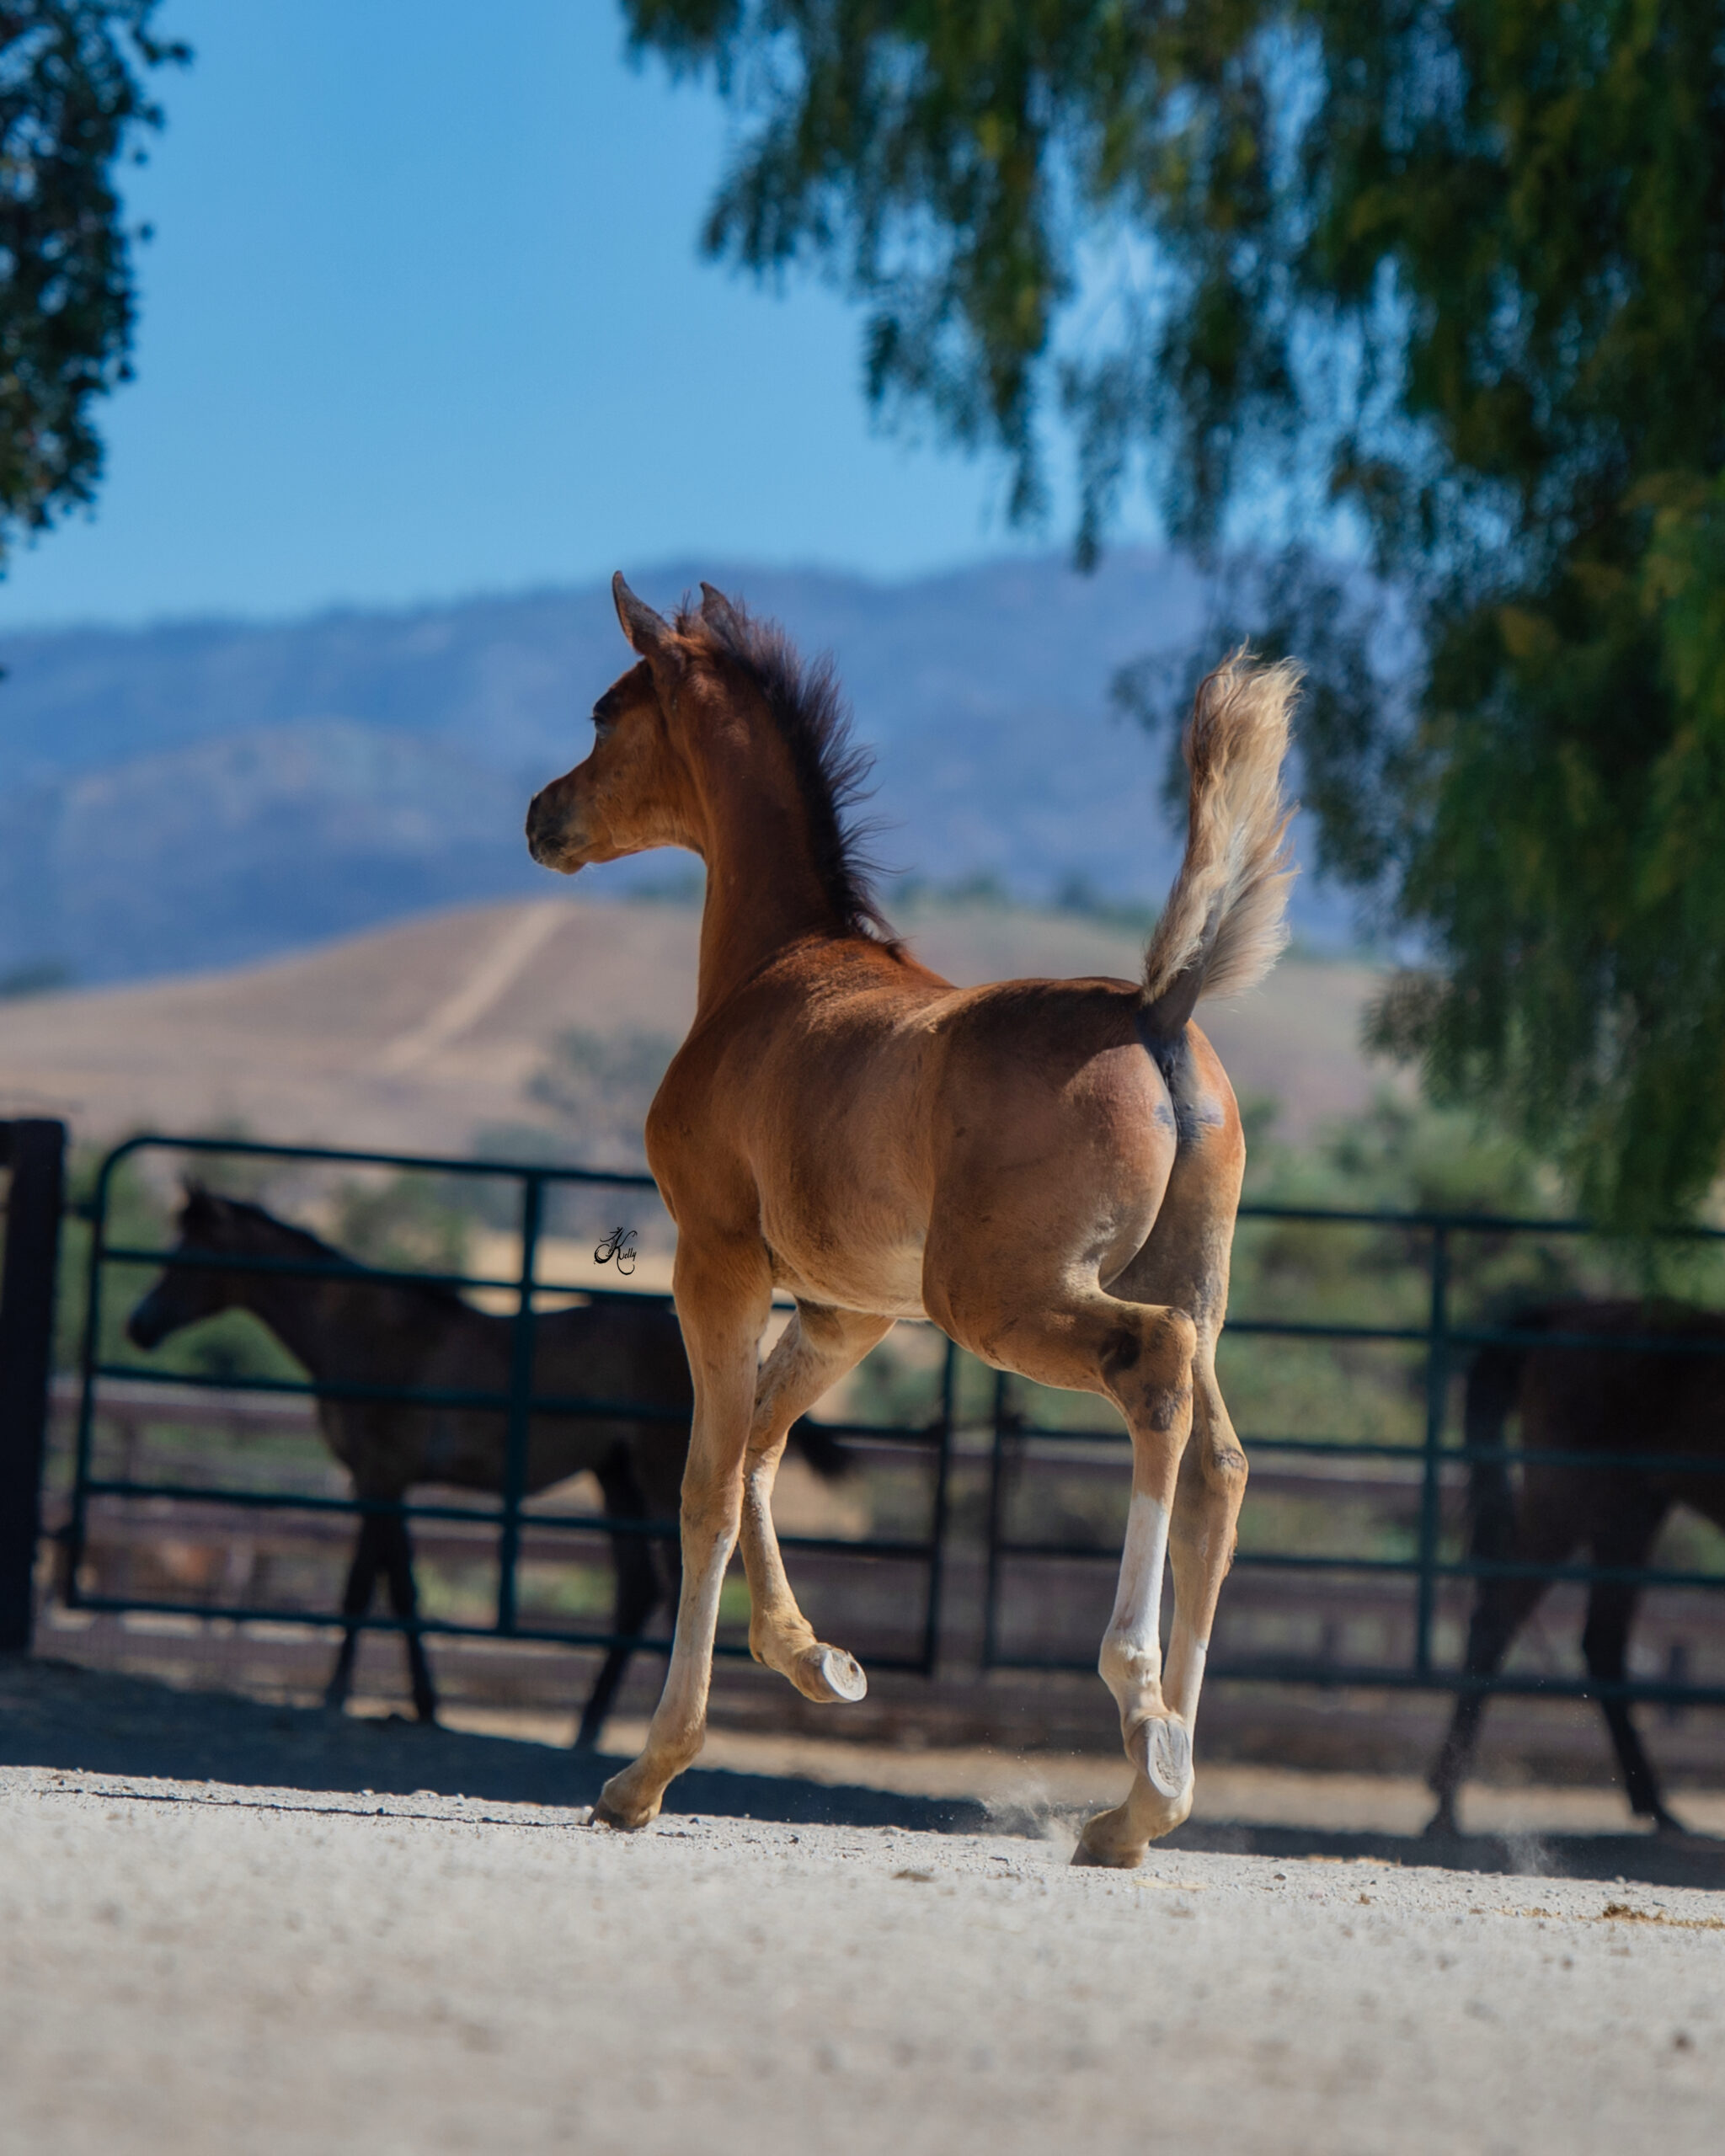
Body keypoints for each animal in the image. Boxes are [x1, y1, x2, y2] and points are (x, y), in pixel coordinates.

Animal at [126, 1185, 846, 1747]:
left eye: (187, 1255)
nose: (138, 1326)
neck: (368, 1333)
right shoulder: (374, 1481)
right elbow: (379, 1584)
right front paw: (379, 1698)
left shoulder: (382, 1478)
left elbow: (384, 1587)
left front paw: (377, 1699)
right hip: (613, 1477)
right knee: (639, 1590)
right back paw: (588, 1727)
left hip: (652, 1471)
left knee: (676, 1588)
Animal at [525, 573, 1299, 1866]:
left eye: (602, 711)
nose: (541, 817)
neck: (773, 965)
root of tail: (1159, 1010)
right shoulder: (849, 1308)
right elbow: (759, 1450)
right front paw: (815, 1661)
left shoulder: (717, 1260)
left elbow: (705, 1485)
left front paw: (647, 1772)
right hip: (1185, 1287)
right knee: (1219, 1465)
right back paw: (1139, 1799)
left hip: (1000, 1297)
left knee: (1151, 1375)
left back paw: (1140, 1709)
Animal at [1426, 1299, 1725, 1835]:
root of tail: (1565, 1313)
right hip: (1567, 1503)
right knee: (1497, 1620)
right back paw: (1445, 1807)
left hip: (1629, 1517)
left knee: (1600, 1642)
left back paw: (1654, 1805)